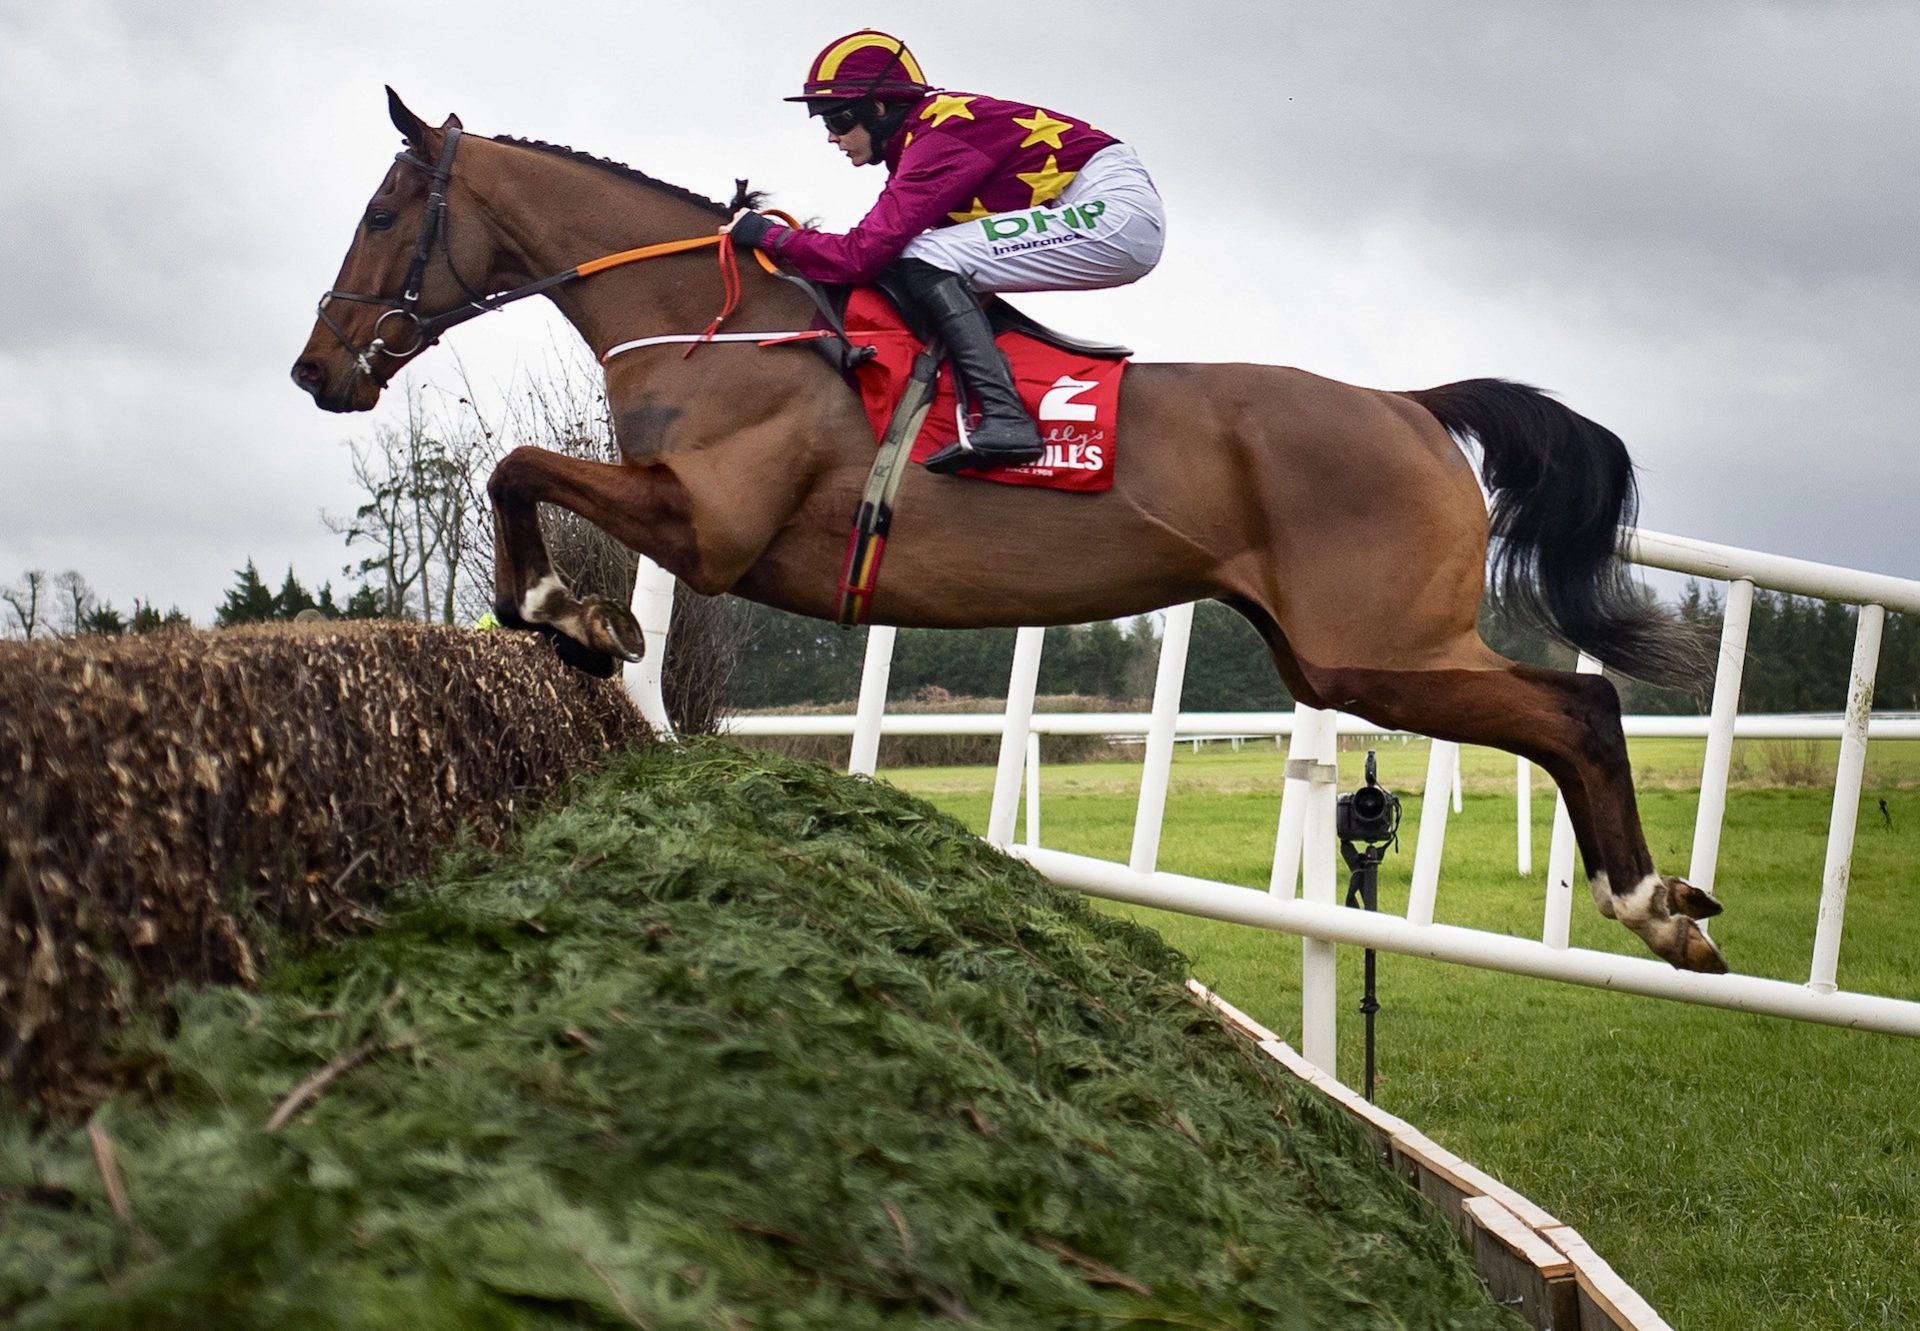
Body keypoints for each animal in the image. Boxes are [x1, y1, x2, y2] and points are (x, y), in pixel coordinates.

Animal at [291, 90, 1735, 964]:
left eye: (379, 212)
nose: (318, 369)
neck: (717, 320)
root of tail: (1411, 404)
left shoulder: (708, 524)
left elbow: (514, 465)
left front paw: (569, 615)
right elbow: (519, 475)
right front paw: (571, 620)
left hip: (1371, 649)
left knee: (1579, 709)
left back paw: (1649, 902)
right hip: (1340, 651)